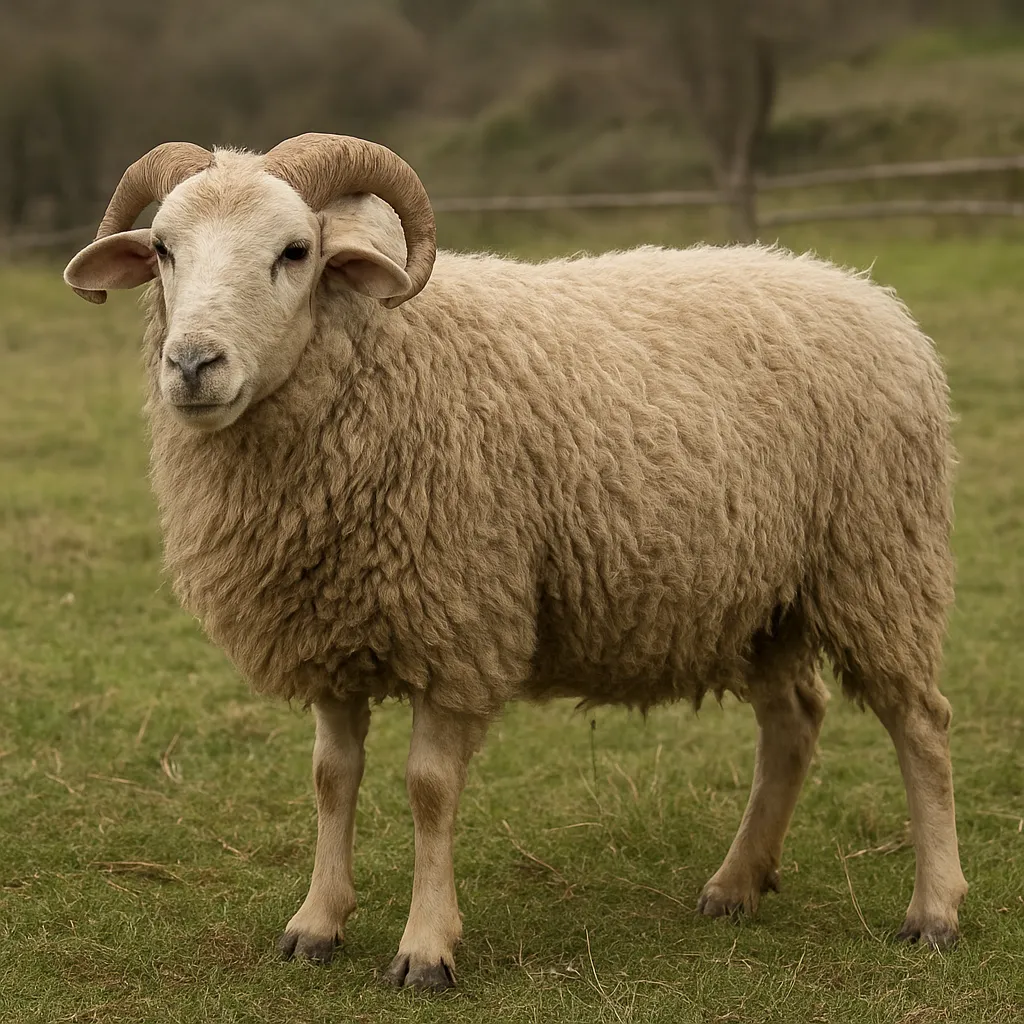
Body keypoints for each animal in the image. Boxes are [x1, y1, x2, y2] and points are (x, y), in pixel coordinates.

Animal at [63, 133, 968, 992]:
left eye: (295, 250)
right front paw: (316, 924)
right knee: (792, 722)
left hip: (879, 561)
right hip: (766, 597)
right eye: (165, 249)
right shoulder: (330, 623)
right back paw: (736, 883)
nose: (192, 366)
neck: (394, 354)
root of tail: (866, 292)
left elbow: (429, 789)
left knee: (920, 725)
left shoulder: (460, 621)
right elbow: (330, 777)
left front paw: (426, 949)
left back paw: (934, 910)